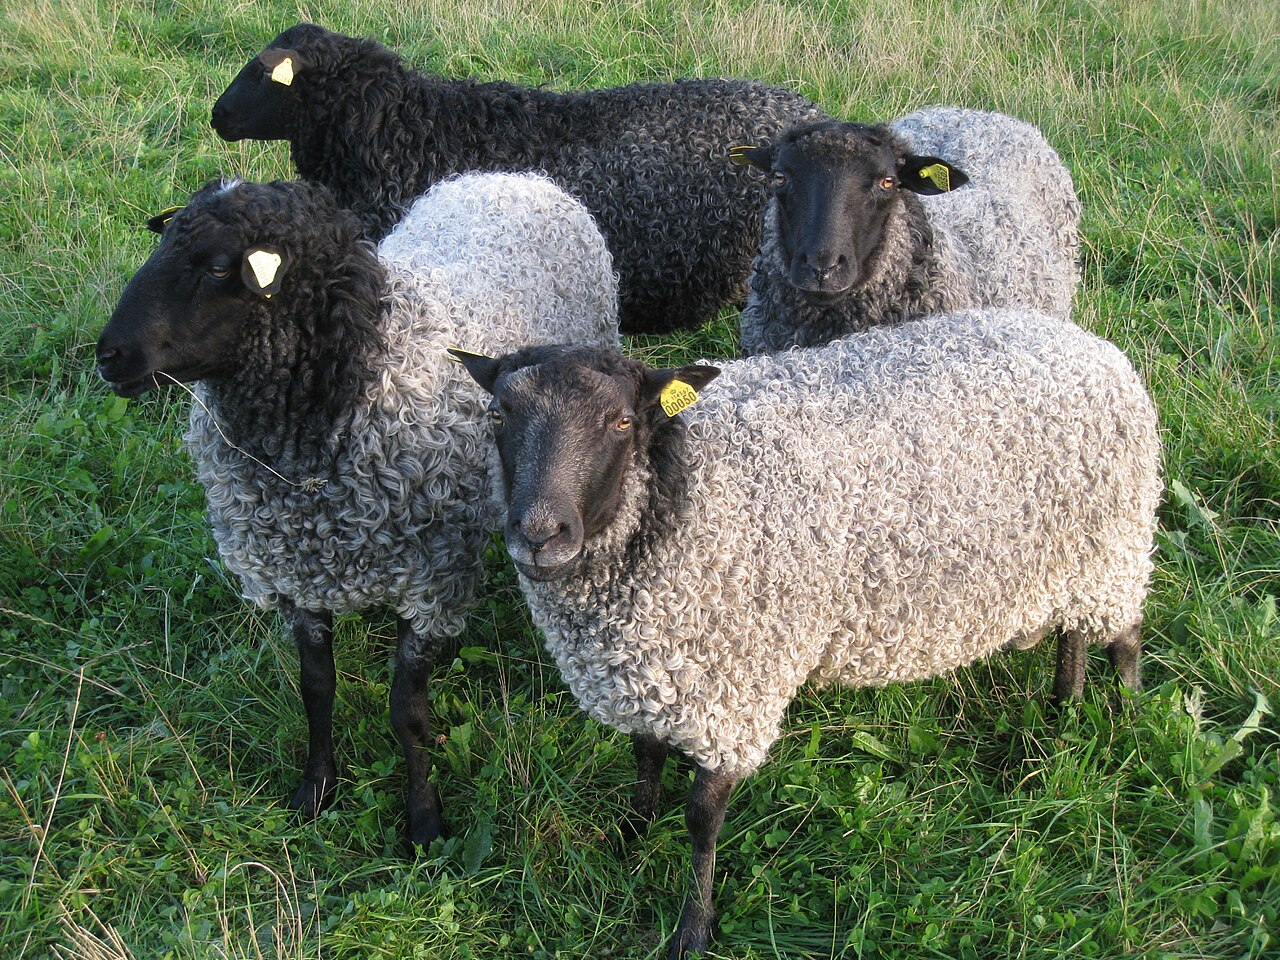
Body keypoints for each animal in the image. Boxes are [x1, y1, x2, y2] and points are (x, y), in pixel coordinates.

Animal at [95, 171, 619, 848]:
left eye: (215, 268)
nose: (110, 356)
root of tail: (517, 177)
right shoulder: (295, 570)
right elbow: (316, 689)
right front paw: (315, 789)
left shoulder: (432, 581)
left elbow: (407, 714)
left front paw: (424, 822)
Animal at [451, 308, 1161, 958]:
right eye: (499, 416)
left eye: (620, 421)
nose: (539, 535)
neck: (676, 489)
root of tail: (1087, 342)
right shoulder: (653, 669)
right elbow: (645, 758)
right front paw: (632, 837)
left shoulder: (732, 688)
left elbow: (702, 818)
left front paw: (693, 927)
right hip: (1075, 561)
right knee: (1073, 632)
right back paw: (1062, 711)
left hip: (1117, 547)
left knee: (1123, 636)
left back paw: (1125, 720)